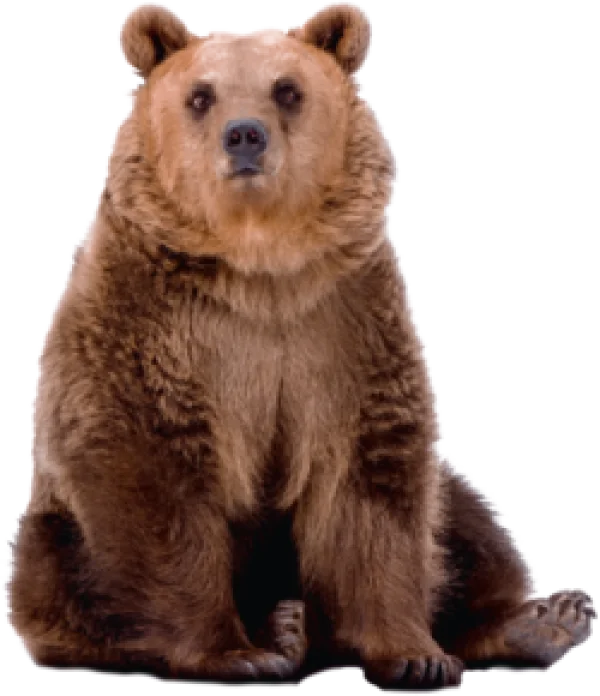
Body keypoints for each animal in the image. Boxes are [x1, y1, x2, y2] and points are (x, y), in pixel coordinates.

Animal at [8, 2, 595, 691]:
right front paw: (235, 651)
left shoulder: (341, 326)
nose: (244, 135)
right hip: (54, 532)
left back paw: (542, 619)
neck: (261, 267)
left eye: (287, 90)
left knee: (465, 520)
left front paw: (417, 654)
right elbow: (152, 473)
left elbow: (374, 485)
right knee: (60, 575)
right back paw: (277, 631)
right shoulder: (151, 323)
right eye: (200, 95)